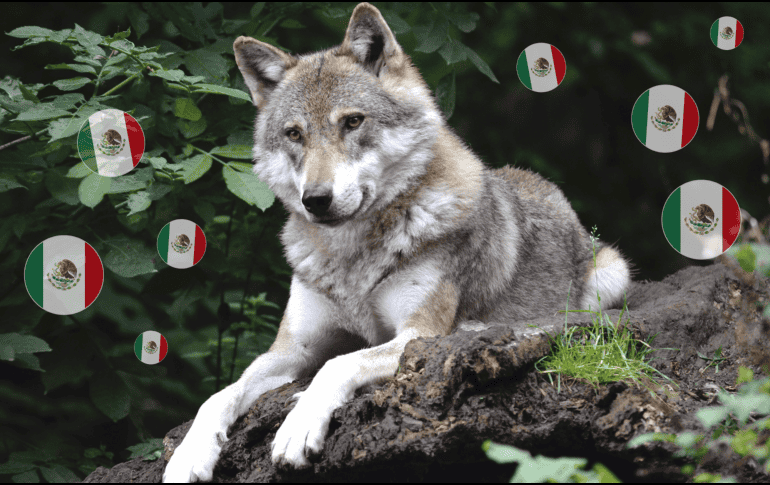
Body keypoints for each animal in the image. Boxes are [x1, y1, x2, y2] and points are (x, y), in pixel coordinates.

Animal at [163, 3, 631, 482]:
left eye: (352, 122)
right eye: (294, 134)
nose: (316, 199)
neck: (352, 258)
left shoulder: (417, 334)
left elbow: (338, 363)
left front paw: (298, 427)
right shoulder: (293, 348)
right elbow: (221, 394)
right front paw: (188, 456)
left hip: (611, 274)